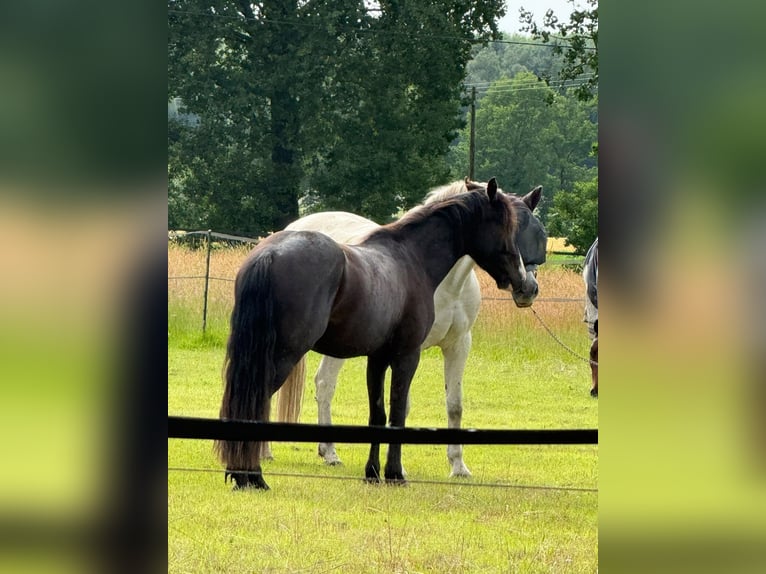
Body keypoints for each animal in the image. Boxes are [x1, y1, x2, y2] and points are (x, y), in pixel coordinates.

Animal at [216, 178, 540, 490]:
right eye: (507, 227)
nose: (523, 282)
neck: (411, 259)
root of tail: (271, 253)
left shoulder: (378, 358)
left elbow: (378, 415)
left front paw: (372, 473)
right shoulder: (406, 355)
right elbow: (397, 412)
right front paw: (395, 473)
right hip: (284, 355)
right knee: (262, 400)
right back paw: (253, 474)